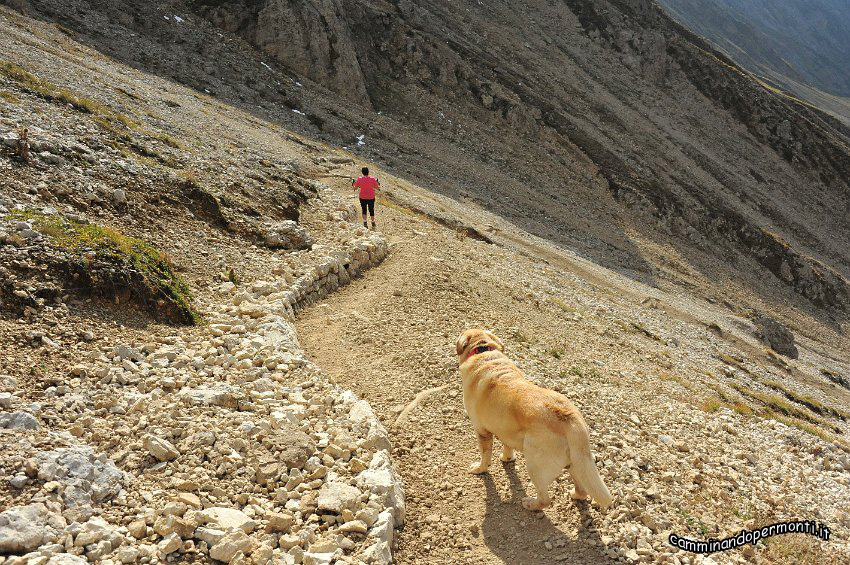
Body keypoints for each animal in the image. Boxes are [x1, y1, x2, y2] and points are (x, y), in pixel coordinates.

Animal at [458, 328, 608, 508]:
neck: (483, 350)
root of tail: (571, 418)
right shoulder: (505, 428)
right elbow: (507, 446)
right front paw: (507, 458)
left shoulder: (481, 430)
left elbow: (485, 456)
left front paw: (480, 469)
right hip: (576, 461)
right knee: (582, 489)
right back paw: (575, 495)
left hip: (535, 462)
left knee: (545, 499)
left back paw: (531, 504)